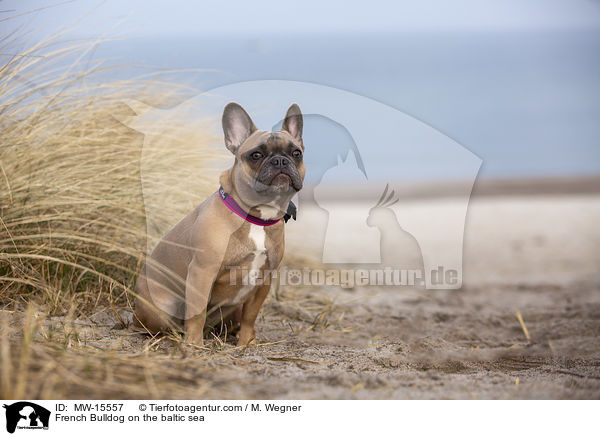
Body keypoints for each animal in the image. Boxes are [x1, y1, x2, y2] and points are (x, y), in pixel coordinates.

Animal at [135, 103, 304, 348]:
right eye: (256, 155)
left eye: (296, 153)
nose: (280, 161)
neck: (255, 217)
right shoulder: (203, 271)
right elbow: (196, 313)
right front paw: (194, 345)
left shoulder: (264, 280)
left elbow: (250, 315)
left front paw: (246, 343)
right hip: (160, 308)